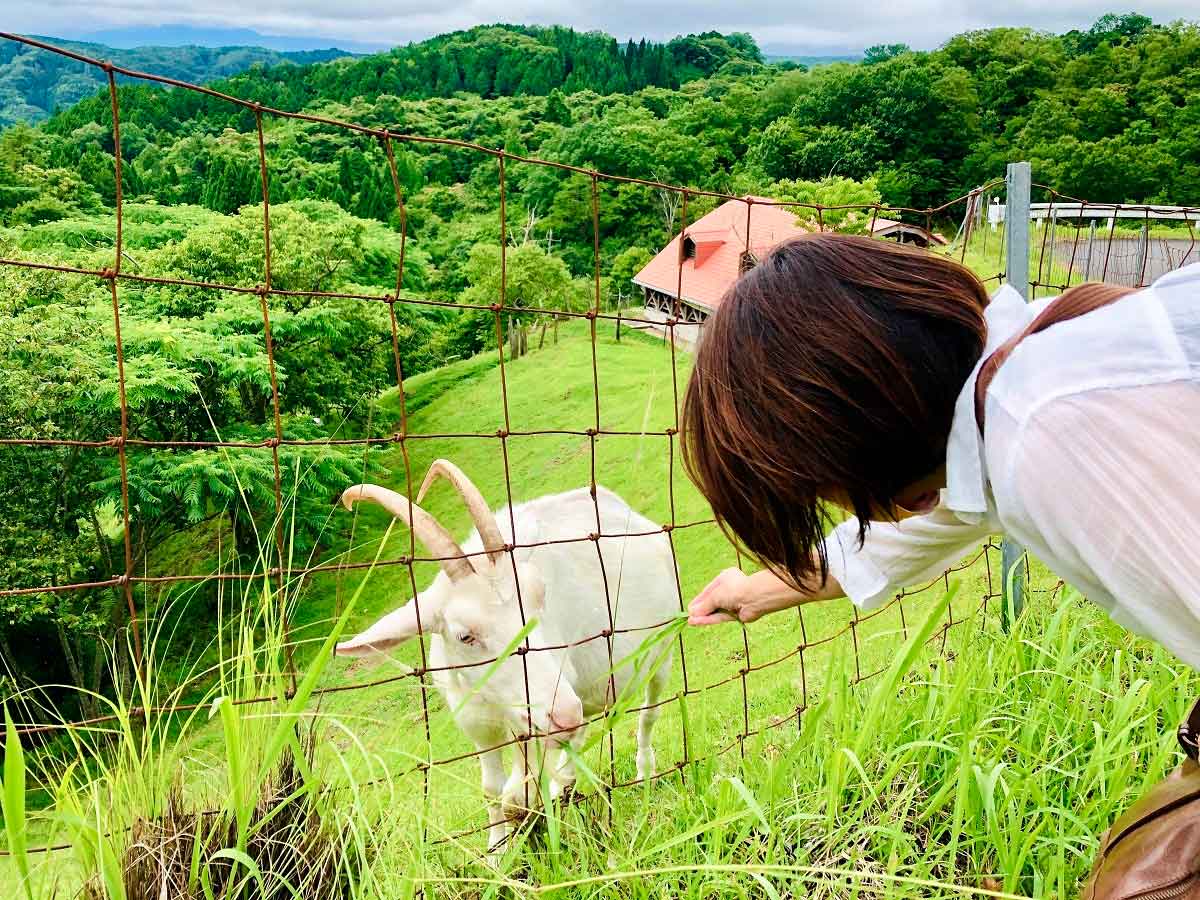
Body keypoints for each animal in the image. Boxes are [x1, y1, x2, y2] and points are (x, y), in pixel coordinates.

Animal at [333, 460, 681, 854]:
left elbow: (520, 793)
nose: (564, 714)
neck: (492, 700)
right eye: (465, 636)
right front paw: (496, 853)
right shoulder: (476, 721)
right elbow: (492, 789)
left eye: (539, 599)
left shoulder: (538, 712)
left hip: (661, 649)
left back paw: (642, 771)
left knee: (648, 712)